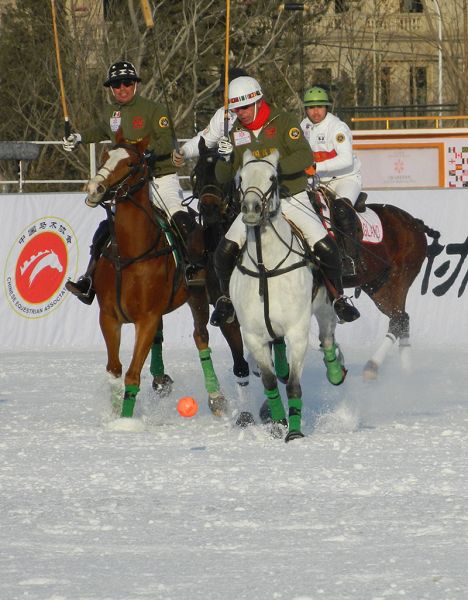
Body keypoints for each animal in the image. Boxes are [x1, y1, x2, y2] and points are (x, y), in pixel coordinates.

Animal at [87, 133, 228, 420]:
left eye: (130, 164)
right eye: (105, 157)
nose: (94, 188)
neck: (131, 253)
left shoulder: (147, 318)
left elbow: (131, 375)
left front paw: (126, 422)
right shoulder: (108, 317)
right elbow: (114, 369)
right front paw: (116, 413)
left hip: (197, 295)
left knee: (200, 337)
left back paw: (216, 397)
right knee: (160, 339)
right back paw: (161, 379)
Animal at [230, 150, 344, 440]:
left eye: (272, 177)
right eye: (241, 178)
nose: (250, 209)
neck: (266, 266)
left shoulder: (297, 331)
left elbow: (294, 385)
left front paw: (294, 433)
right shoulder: (253, 336)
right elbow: (270, 382)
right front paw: (279, 424)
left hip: (325, 307)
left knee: (327, 339)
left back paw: (336, 371)